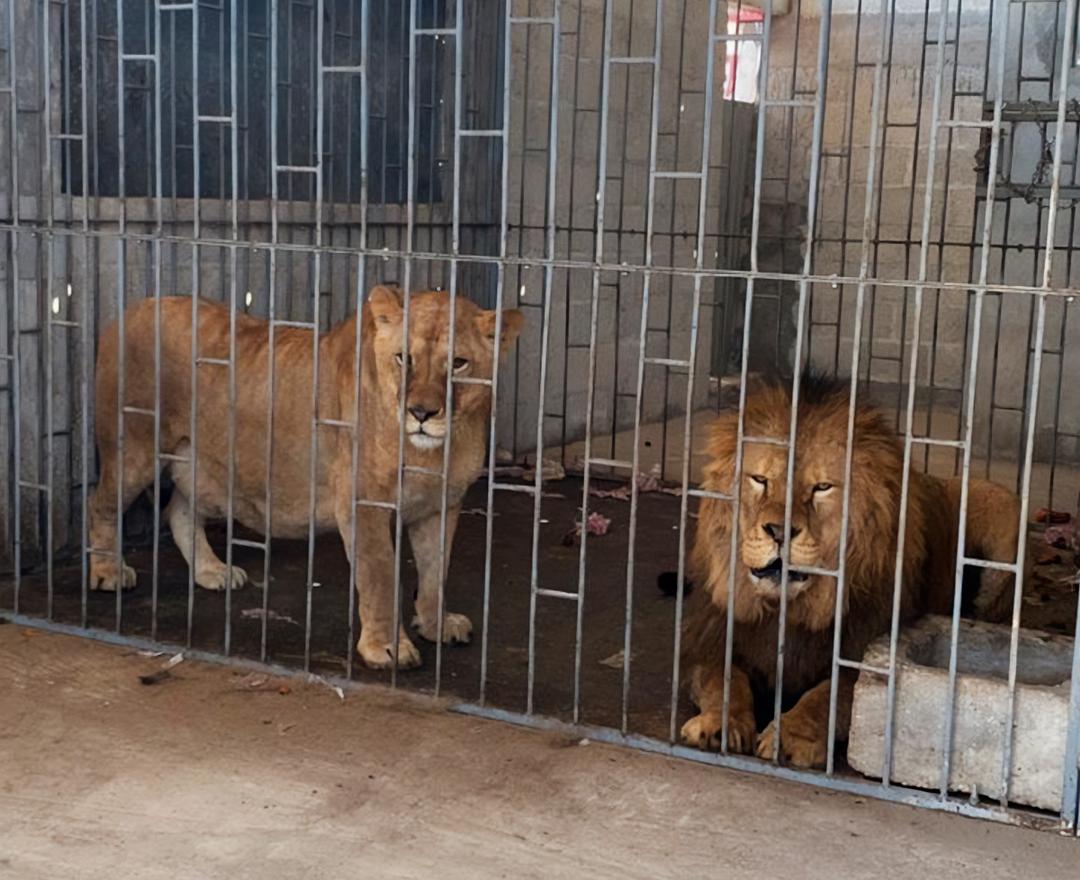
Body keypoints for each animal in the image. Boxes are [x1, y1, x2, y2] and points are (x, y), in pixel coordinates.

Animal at [87, 289, 522, 669]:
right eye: (404, 358)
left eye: (459, 363)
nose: (421, 413)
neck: (431, 452)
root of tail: (131, 309)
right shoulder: (361, 504)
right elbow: (380, 575)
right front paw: (387, 648)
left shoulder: (441, 506)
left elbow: (436, 573)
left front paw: (436, 625)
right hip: (134, 450)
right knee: (101, 504)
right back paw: (108, 572)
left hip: (204, 468)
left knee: (178, 510)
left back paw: (212, 571)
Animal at [673, 375, 1019, 768]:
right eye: (760, 479)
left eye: (822, 488)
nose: (779, 531)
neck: (791, 611)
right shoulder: (709, 639)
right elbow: (723, 679)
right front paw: (718, 725)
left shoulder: (864, 655)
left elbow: (825, 698)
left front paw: (789, 737)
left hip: (999, 505)